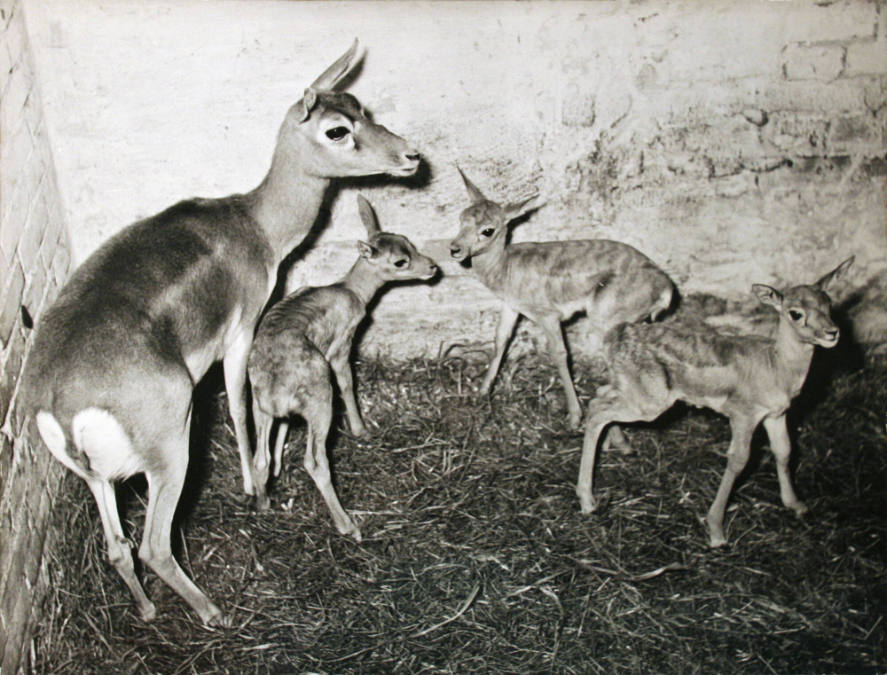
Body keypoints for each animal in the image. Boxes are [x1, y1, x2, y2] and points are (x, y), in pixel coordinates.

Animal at [17, 39, 420, 624]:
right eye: (337, 129)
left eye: (360, 106)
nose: (410, 155)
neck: (256, 226)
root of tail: (59, 403)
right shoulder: (243, 328)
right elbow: (239, 405)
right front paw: (257, 487)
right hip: (172, 448)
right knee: (153, 545)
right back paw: (213, 612)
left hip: (95, 479)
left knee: (116, 546)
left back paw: (147, 611)